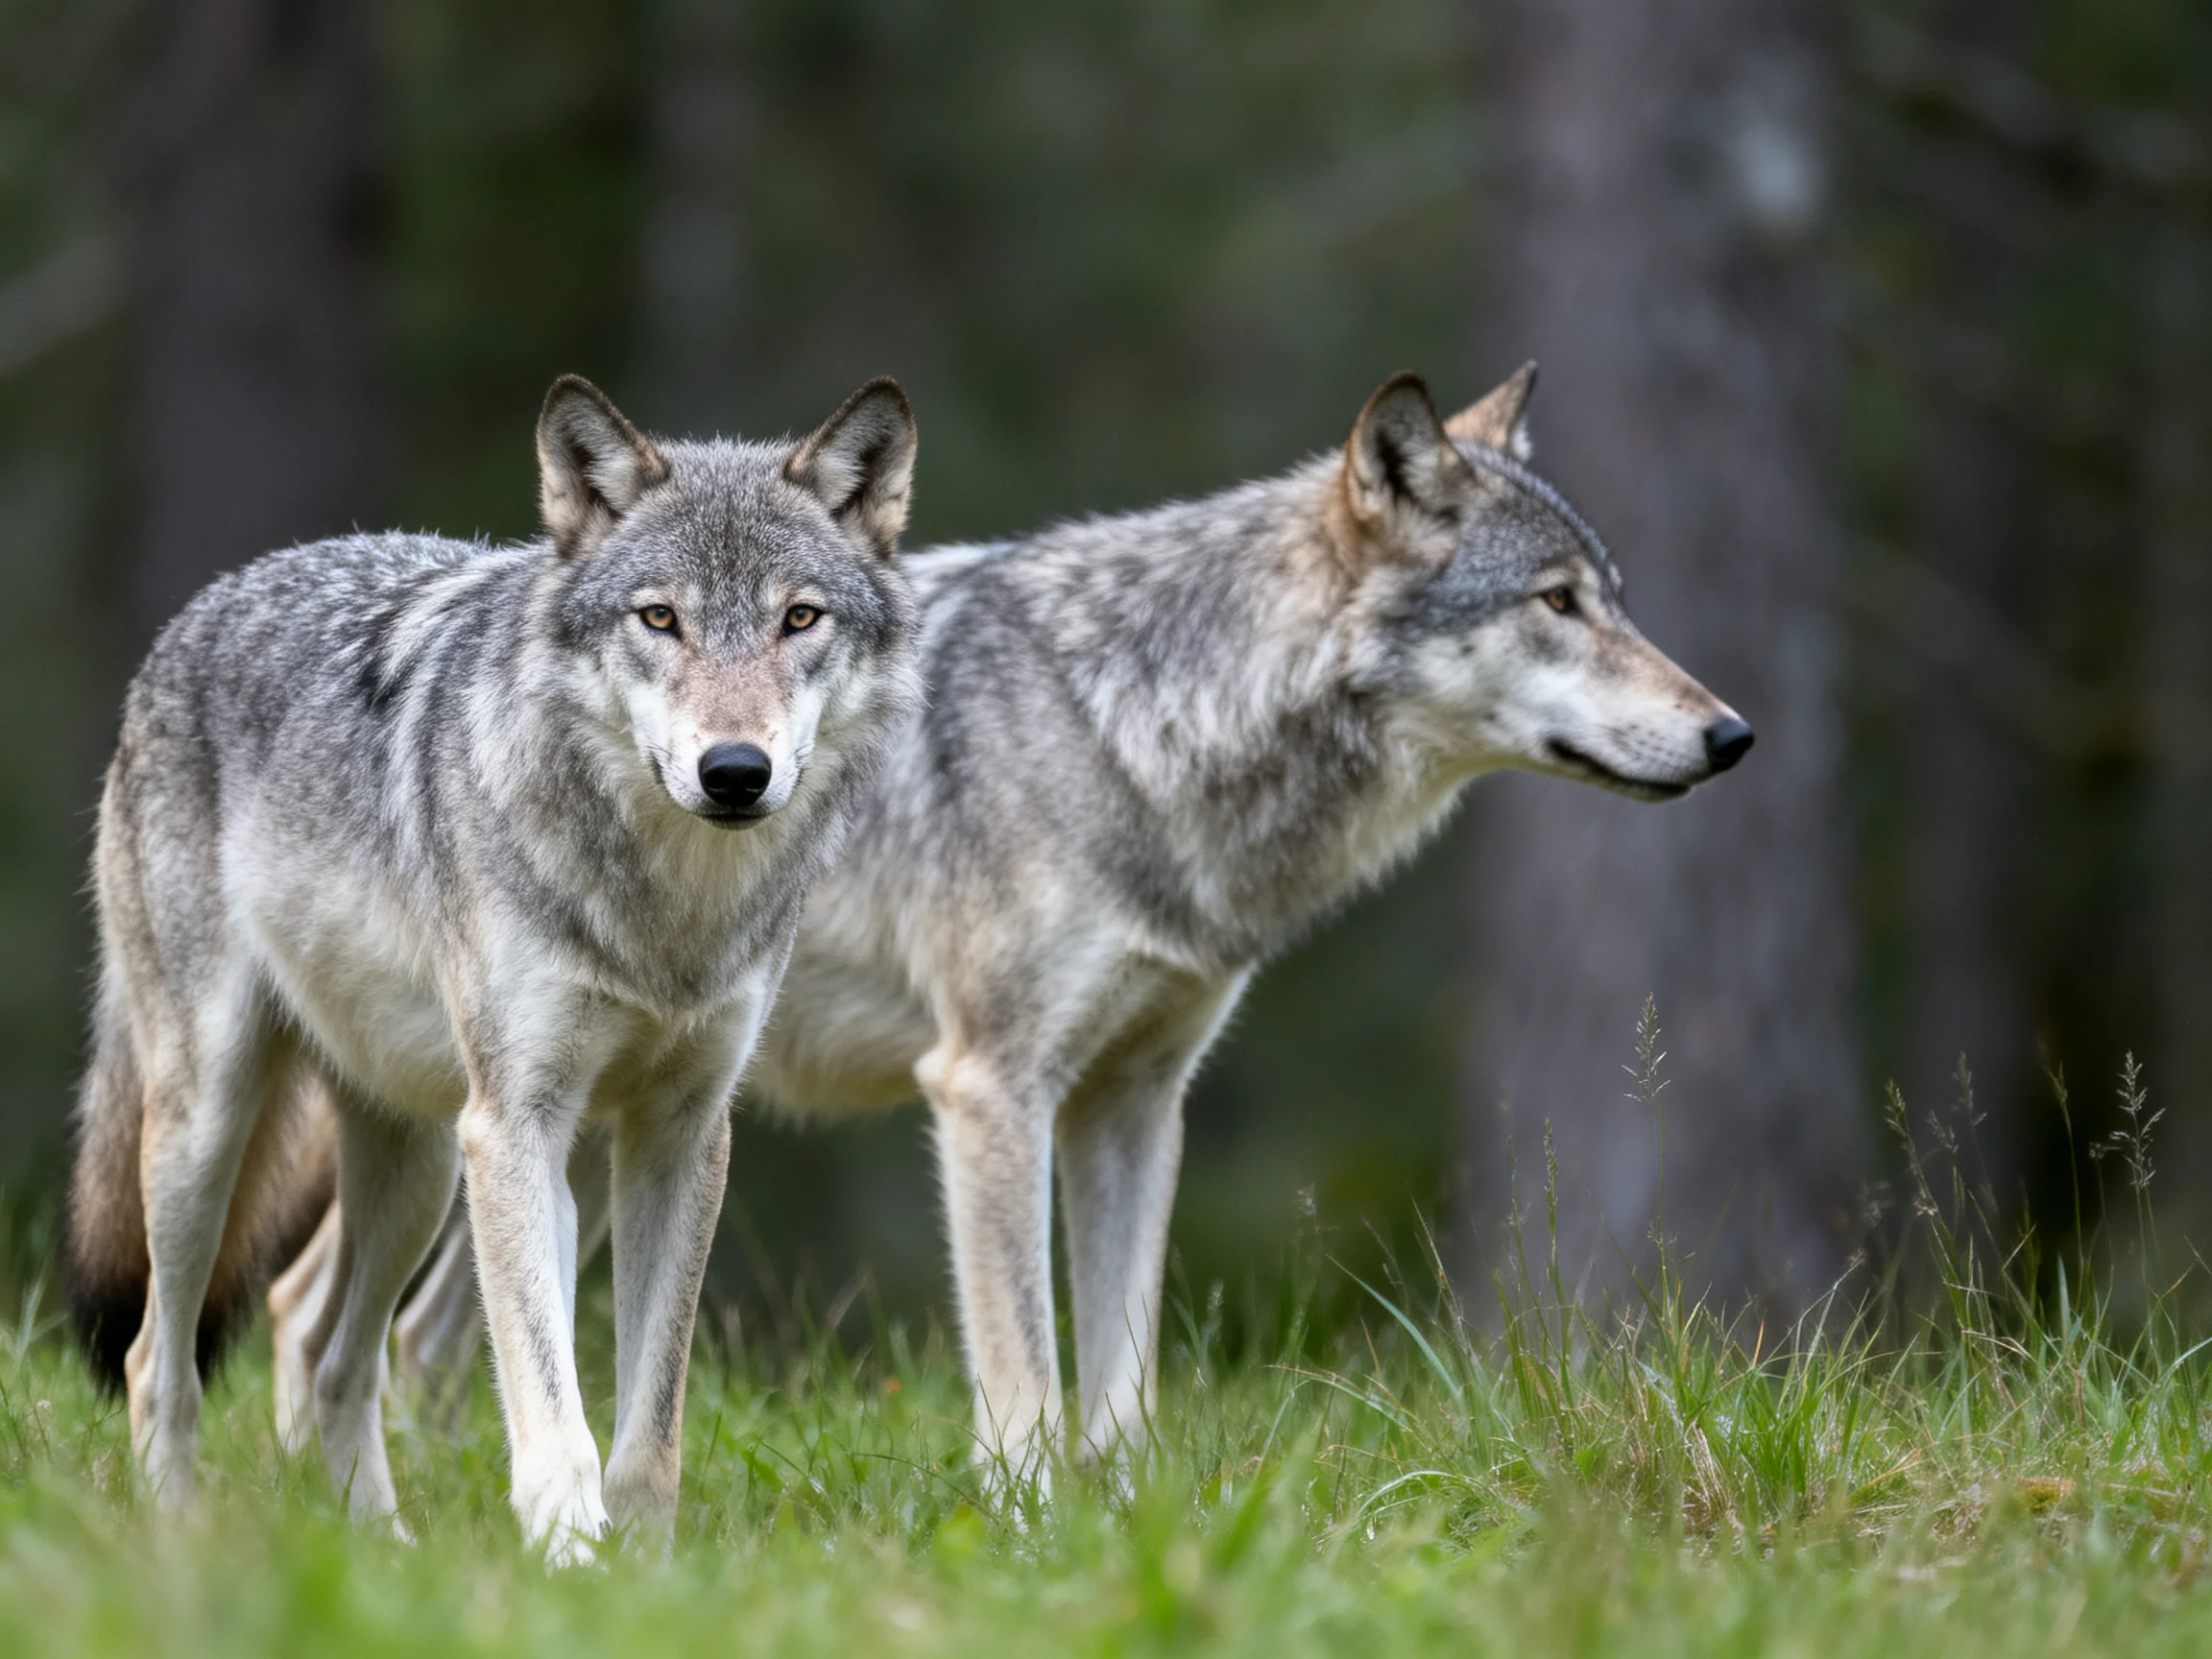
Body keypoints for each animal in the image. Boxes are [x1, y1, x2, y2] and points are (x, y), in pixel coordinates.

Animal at [64, 373, 923, 1558]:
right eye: (660, 617)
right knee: (162, 1357)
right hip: (215, 1130)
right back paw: (182, 1540)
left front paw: (646, 1569)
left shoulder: (681, 1133)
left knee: (330, 1353)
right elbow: (550, 1401)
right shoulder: (518, 1124)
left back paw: (383, 1553)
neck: (664, 912)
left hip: (424, 1169)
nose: (734, 771)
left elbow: (649, 1426)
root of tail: (202, 607)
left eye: (800, 618)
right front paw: (569, 1558)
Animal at [271, 365, 1751, 1488]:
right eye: (1556, 602)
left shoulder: (1136, 1102)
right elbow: (1027, 1373)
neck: (1135, 733)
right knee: (334, 1319)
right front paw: (1034, 1521)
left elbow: (1125, 1384)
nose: (1732, 734)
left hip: (585, 1135)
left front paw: (1135, 1525)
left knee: (360, 1329)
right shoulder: (990, 1085)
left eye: (1613, 595)